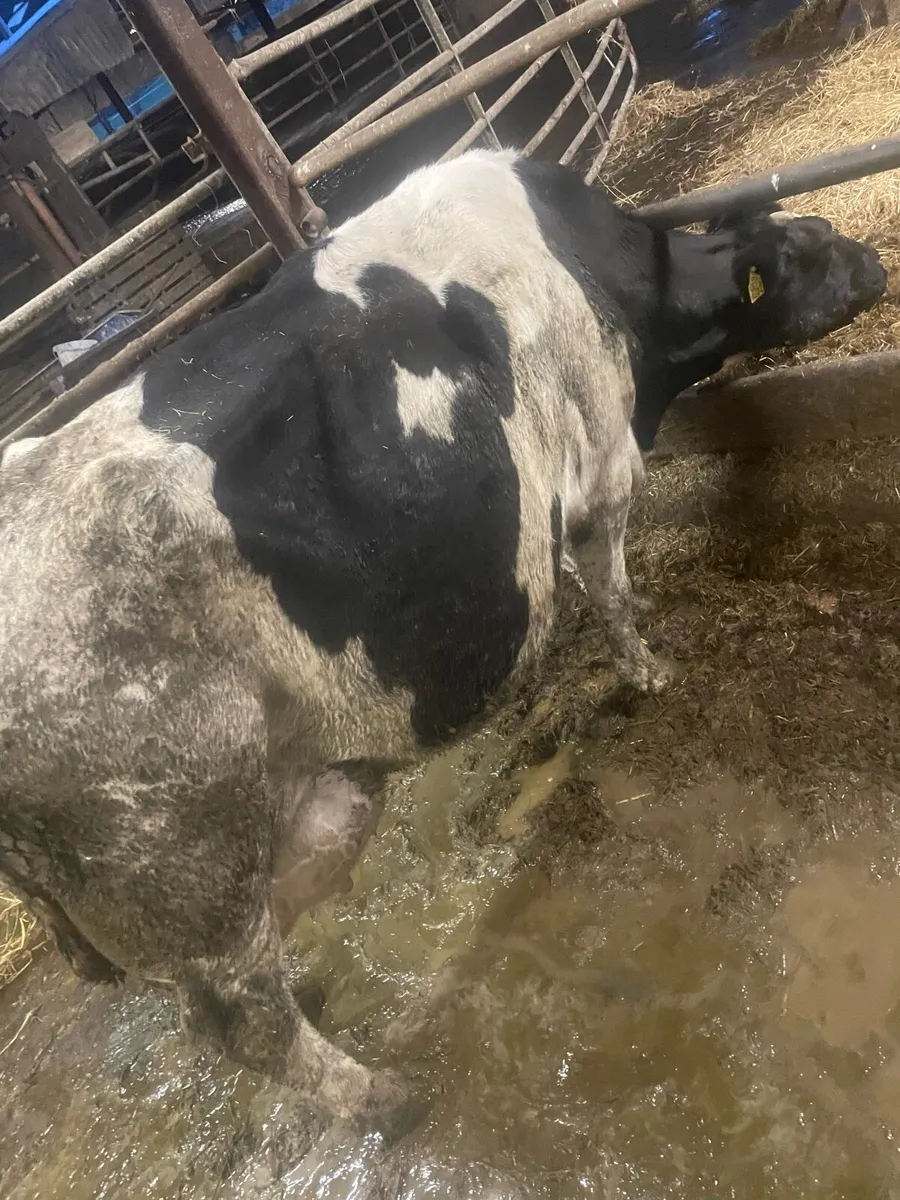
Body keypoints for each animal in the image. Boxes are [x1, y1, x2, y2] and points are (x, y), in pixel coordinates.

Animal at [0, 149, 885, 1135]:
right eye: (811, 249)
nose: (877, 264)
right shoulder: (602, 470)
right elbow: (611, 587)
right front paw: (652, 671)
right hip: (186, 868)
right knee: (245, 1023)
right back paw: (385, 1097)